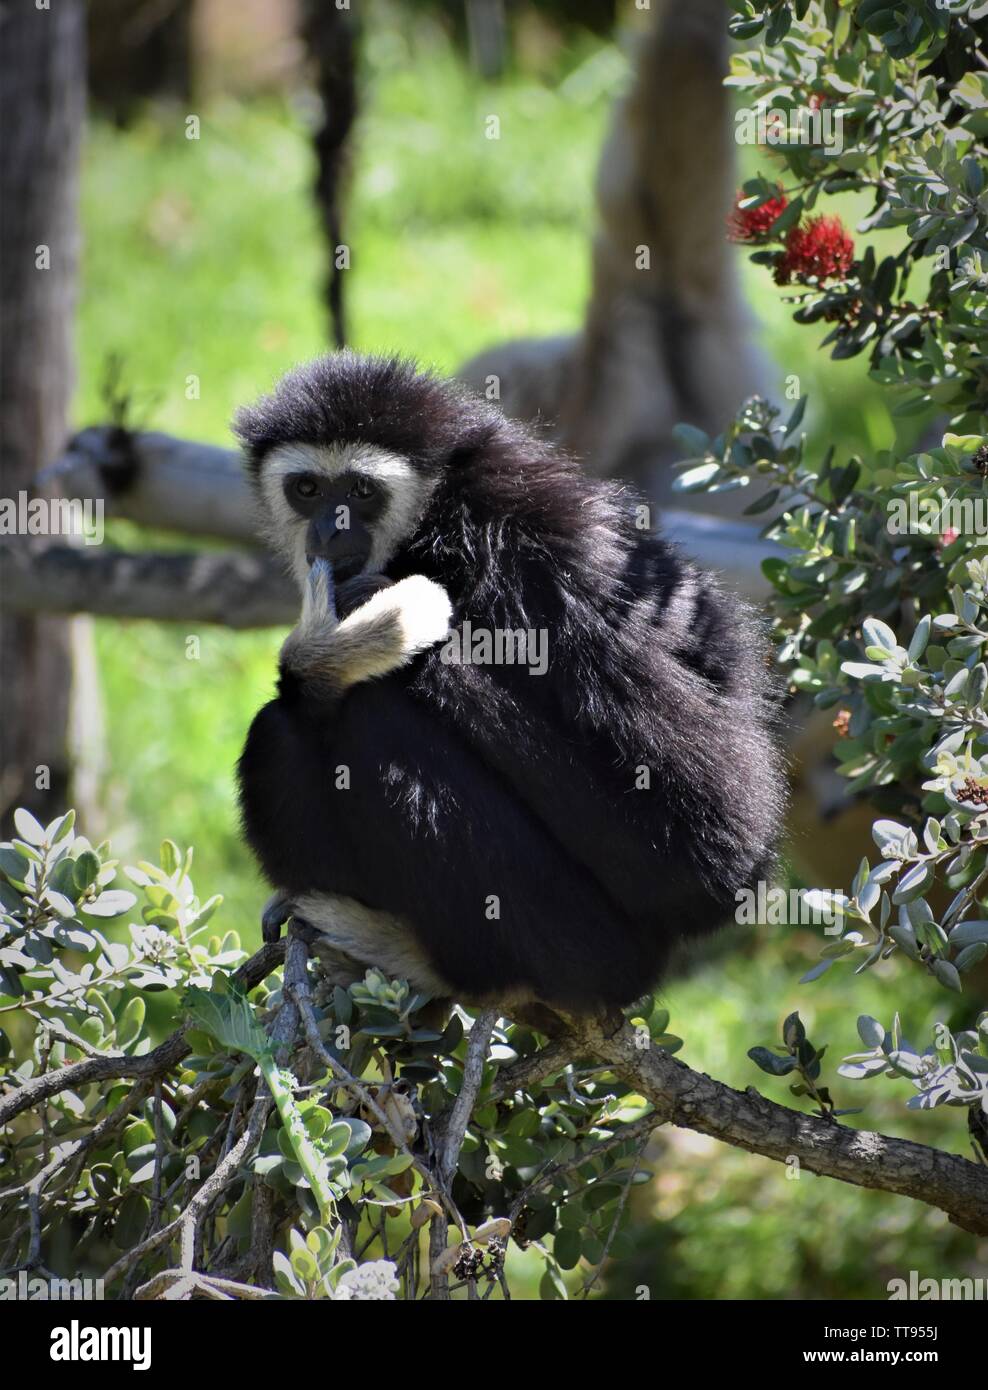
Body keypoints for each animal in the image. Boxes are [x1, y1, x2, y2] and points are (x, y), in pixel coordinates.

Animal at [233, 352, 783, 1016]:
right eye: (308, 489)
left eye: (362, 491)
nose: (330, 529)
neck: (437, 518)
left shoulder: (539, 559)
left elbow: (711, 852)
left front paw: (349, 638)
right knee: (284, 722)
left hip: (583, 942)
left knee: (371, 715)